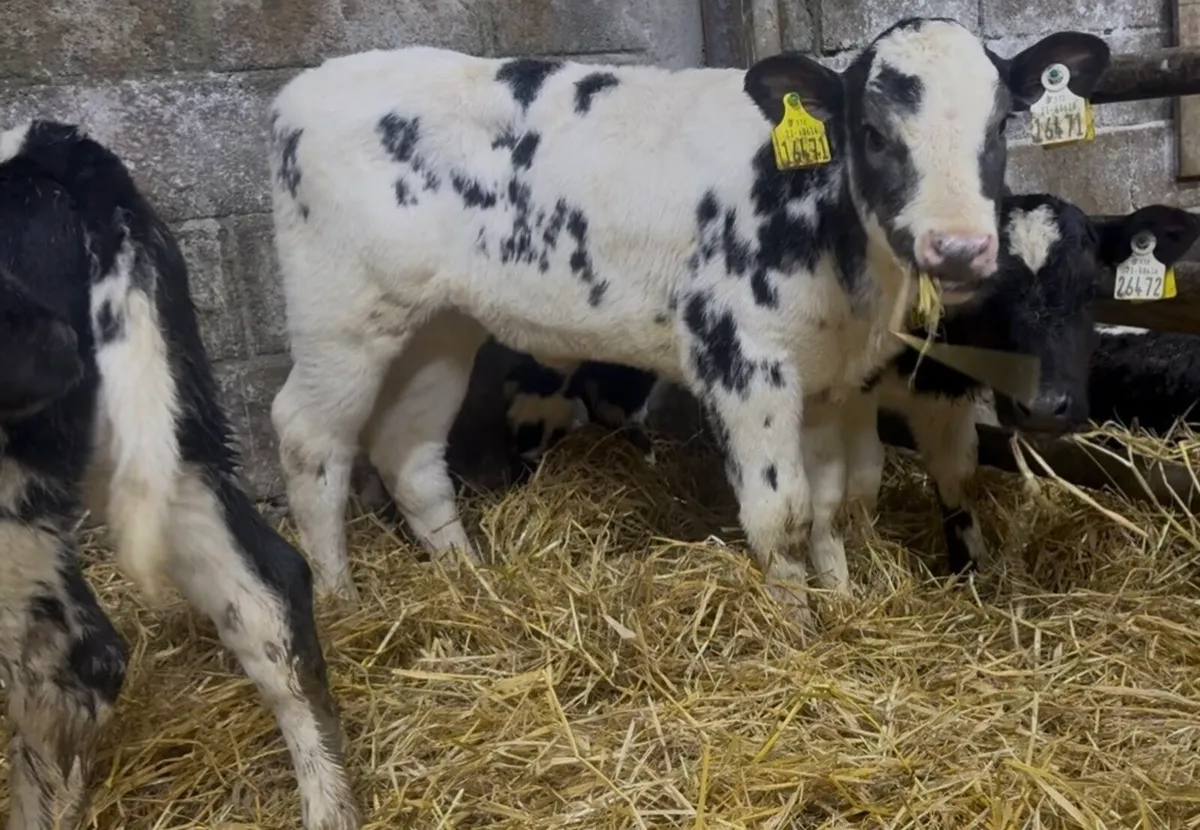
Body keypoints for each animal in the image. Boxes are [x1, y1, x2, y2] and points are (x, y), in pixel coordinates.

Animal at [266, 18, 1112, 607]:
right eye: (872, 132)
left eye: (999, 126)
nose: (960, 247)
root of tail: (298, 94)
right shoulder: (744, 362)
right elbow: (781, 514)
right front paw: (796, 629)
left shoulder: (831, 382)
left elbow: (832, 503)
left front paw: (840, 600)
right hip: (341, 316)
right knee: (309, 439)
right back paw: (342, 602)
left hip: (438, 322)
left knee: (408, 448)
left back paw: (471, 581)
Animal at [501, 197, 1200, 576]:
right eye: (990, 291)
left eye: (1089, 287)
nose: (1048, 407)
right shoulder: (852, 392)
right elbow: (858, 482)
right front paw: (862, 564)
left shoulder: (937, 394)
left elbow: (952, 476)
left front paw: (966, 567)